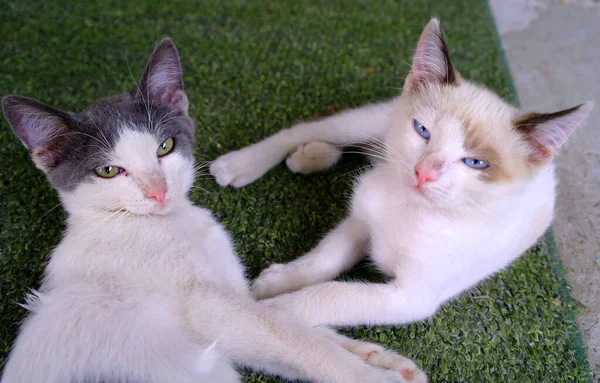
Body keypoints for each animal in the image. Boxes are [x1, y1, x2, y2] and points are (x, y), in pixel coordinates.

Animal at [0, 37, 424, 382]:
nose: (158, 192)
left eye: (165, 147)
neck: (165, 225)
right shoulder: (209, 308)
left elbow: (286, 325)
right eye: (108, 171)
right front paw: (372, 375)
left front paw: (381, 359)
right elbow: (296, 339)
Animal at [210, 18, 592, 330]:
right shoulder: (361, 220)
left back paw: (310, 155)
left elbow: (333, 294)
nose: (423, 173)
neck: (410, 208)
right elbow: (325, 258)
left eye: (476, 163)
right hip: (373, 118)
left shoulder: (409, 298)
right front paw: (282, 280)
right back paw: (245, 162)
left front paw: (272, 313)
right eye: (423, 130)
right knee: (312, 130)